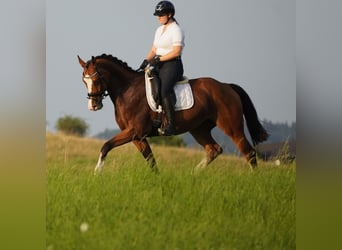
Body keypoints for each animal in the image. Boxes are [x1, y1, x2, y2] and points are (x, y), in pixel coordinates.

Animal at [78, 53, 270, 173]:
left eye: (96, 79)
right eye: (84, 80)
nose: (93, 105)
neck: (127, 91)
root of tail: (226, 86)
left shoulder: (134, 132)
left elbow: (106, 146)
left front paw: (96, 173)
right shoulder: (137, 137)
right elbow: (151, 160)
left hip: (232, 128)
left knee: (249, 152)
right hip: (199, 129)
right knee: (213, 150)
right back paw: (193, 174)